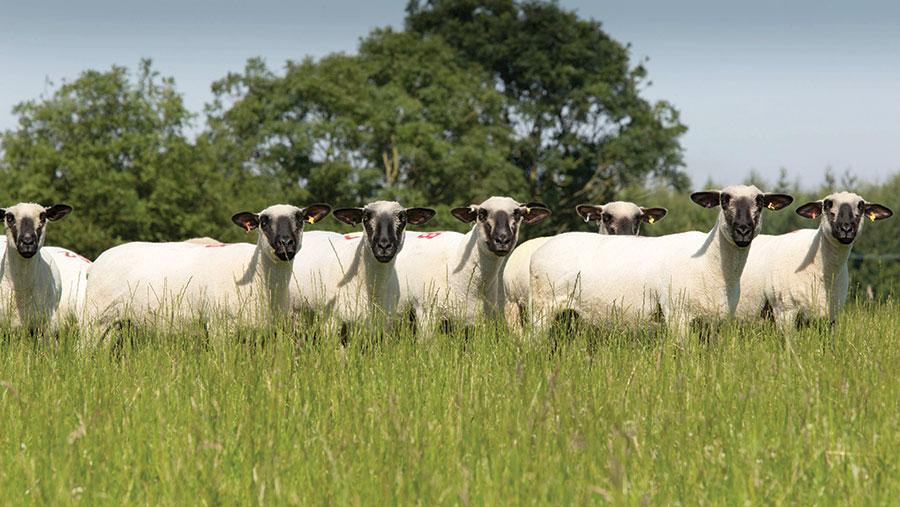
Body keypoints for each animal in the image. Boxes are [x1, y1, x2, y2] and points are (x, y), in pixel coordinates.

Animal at [83, 203, 331, 338]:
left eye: (300, 219)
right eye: (263, 221)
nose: (285, 243)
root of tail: (96, 263)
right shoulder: (220, 327)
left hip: (119, 324)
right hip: (95, 320)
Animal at [529, 185, 793, 337]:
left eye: (760, 202)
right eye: (723, 200)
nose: (743, 230)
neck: (712, 265)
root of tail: (541, 248)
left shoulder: (716, 322)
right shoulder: (677, 316)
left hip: (568, 318)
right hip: (542, 311)